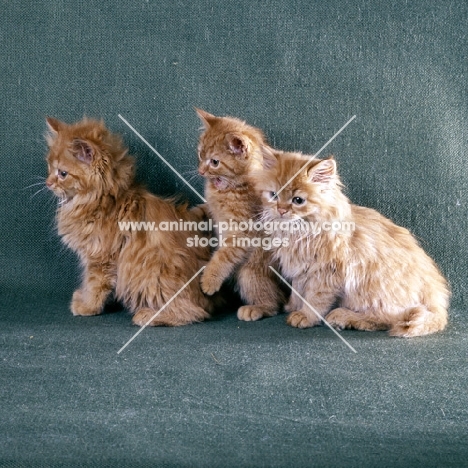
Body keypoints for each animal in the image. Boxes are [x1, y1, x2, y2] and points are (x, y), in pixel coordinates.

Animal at [44, 116, 213, 326]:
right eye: (49, 168)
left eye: (62, 173)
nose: (47, 183)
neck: (101, 201)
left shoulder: (101, 259)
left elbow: (94, 285)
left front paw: (87, 307)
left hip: (152, 275)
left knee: (192, 312)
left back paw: (148, 315)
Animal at [195, 109, 286, 322]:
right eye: (200, 154)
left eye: (215, 162)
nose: (201, 171)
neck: (234, 187)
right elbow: (207, 209)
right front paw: (196, 209)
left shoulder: (244, 232)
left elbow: (224, 255)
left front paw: (210, 279)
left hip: (249, 272)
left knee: (273, 304)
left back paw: (256, 308)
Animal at [256, 150, 450, 336]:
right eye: (274, 195)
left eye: (298, 200)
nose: (281, 210)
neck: (297, 233)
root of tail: (436, 297)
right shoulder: (299, 272)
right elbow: (298, 291)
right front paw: (293, 306)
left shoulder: (326, 273)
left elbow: (315, 299)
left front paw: (306, 316)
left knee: (387, 318)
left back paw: (343, 317)